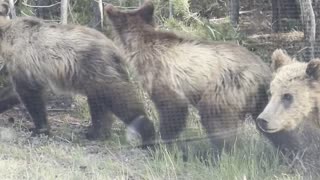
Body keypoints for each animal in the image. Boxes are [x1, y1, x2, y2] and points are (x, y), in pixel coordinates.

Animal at [106, 0, 272, 154]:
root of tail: (262, 68)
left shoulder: (162, 75)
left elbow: (173, 107)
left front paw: (161, 143)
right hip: (262, 98)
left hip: (227, 87)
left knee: (216, 119)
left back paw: (223, 152)